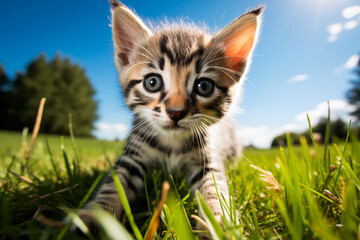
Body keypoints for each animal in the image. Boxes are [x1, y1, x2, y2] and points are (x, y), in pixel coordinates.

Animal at [76, 0, 262, 236]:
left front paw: (219, 221)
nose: (176, 112)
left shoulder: (208, 158)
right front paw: (93, 217)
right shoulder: (133, 155)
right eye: (152, 82)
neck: (172, 143)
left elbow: (215, 188)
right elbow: (113, 184)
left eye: (204, 86)